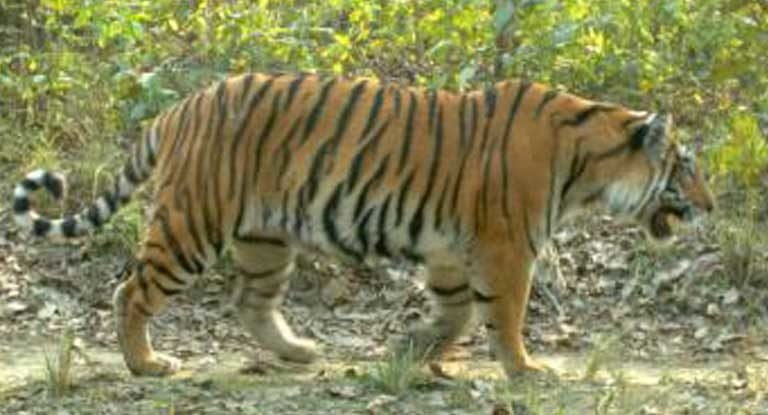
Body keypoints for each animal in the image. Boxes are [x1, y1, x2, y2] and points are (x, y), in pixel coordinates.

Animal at [12, 72, 716, 380]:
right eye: (686, 168)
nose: (711, 206)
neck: (589, 164)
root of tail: (181, 107)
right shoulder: (506, 247)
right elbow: (504, 314)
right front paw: (525, 369)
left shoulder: (453, 251)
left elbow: (458, 313)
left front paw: (415, 350)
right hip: (194, 223)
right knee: (131, 289)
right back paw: (147, 362)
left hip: (265, 238)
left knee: (250, 302)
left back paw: (298, 352)